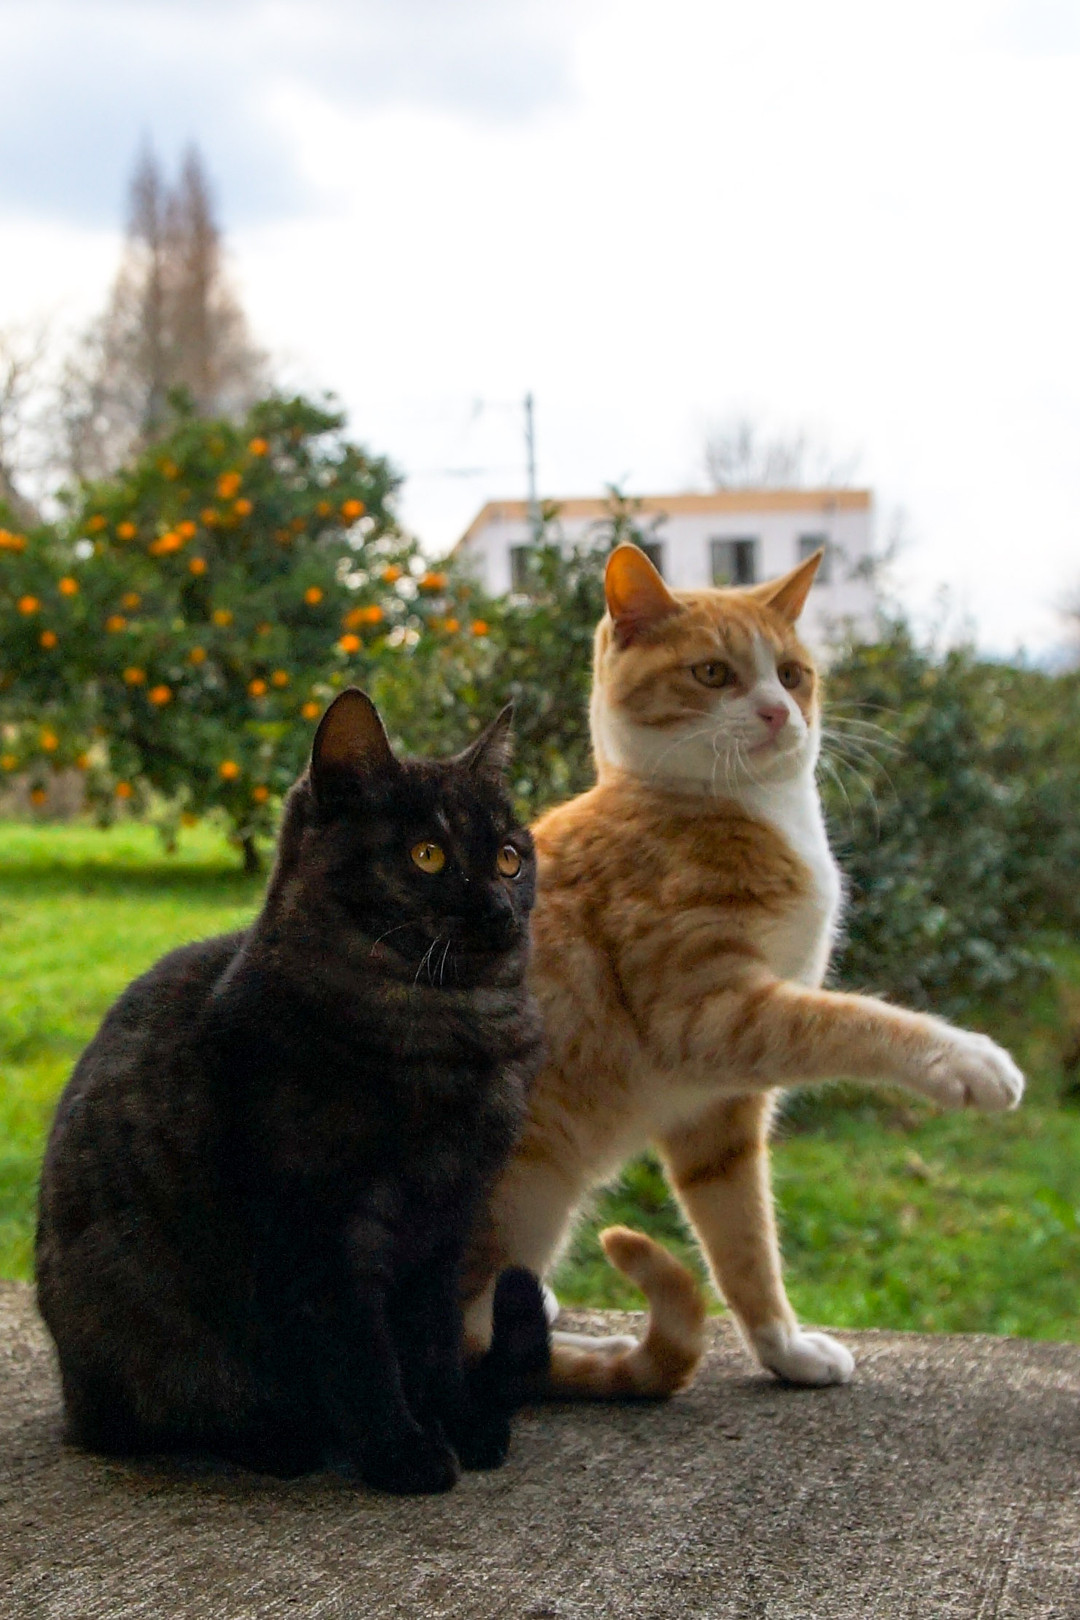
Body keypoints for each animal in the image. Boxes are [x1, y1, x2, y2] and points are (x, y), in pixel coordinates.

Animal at [36, 688, 549, 1493]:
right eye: (427, 854)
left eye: (508, 856)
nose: (499, 906)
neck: (449, 1029)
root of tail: (69, 1398)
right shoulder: (323, 1230)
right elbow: (365, 1356)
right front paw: (404, 1453)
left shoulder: (447, 1220)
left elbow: (433, 1345)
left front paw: (463, 1426)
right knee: (165, 1417)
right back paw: (279, 1440)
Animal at [461, 543, 1025, 1397]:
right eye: (713, 674)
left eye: (790, 675)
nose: (776, 714)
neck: (737, 808)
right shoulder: (715, 1015)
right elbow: (859, 1019)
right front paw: (963, 1058)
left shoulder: (719, 1109)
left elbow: (743, 1242)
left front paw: (783, 1347)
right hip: (523, 1190)